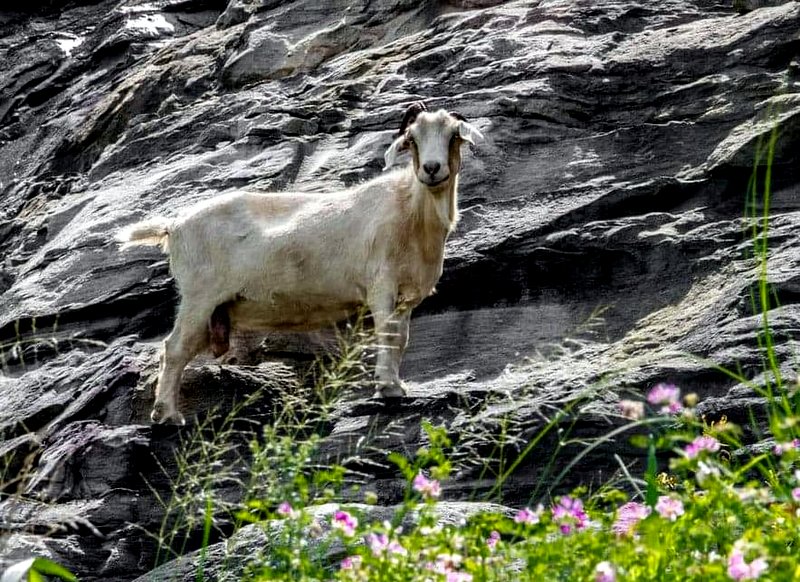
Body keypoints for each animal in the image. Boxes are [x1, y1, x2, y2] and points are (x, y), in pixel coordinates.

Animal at [118, 103, 483, 424]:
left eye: (453, 135)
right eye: (412, 139)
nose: (431, 169)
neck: (409, 208)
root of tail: (173, 226)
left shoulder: (406, 295)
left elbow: (400, 338)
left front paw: (395, 386)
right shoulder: (381, 286)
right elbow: (386, 335)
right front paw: (387, 388)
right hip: (199, 296)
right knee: (174, 349)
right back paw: (168, 415)